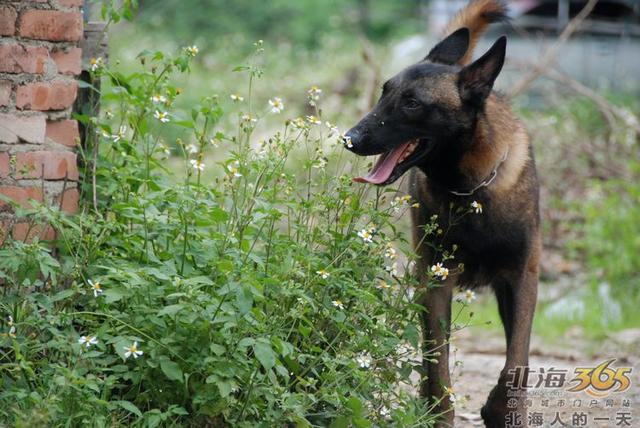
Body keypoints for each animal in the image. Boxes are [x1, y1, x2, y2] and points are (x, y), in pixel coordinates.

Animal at [344, 0, 540, 428]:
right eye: (385, 92)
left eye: (412, 103)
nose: (349, 138)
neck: (471, 189)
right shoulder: (435, 283)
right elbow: (438, 365)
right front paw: (439, 413)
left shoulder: (522, 280)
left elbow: (516, 362)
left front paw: (501, 411)